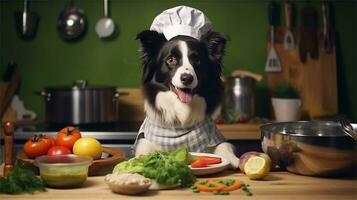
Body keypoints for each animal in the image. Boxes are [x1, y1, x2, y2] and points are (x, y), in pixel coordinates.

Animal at [134, 29, 239, 169]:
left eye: (197, 60)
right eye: (171, 60)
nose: (187, 78)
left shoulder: (214, 137)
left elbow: (224, 146)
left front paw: (235, 160)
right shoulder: (145, 141)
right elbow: (144, 151)